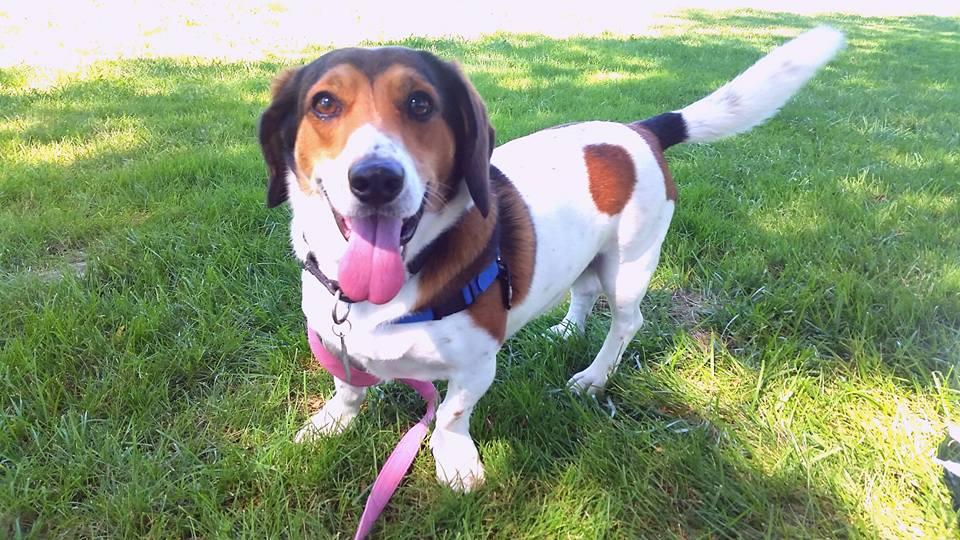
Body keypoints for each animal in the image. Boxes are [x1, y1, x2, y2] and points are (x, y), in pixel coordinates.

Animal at [258, 25, 844, 492]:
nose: (376, 179)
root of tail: (642, 130)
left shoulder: (476, 364)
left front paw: (454, 462)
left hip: (629, 266)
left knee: (626, 323)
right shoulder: (332, 342)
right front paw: (331, 422)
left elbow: (449, 414)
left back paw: (593, 377)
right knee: (582, 294)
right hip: (587, 258)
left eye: (421, 104)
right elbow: (348, 392)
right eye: (325, 104)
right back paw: (566, 331)